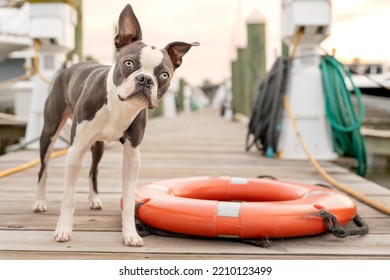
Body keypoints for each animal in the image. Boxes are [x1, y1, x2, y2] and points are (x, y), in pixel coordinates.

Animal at [33, 3, 198, 246]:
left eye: (163, 75)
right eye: (129, 63)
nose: (145, 80)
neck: (119, 105)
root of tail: (69, 67)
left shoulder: (132, 156)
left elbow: (129, 200)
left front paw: (130, 234)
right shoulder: (76, 149)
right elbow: (68, 196)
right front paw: (63, 230)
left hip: (98, 146)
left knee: (93, 170)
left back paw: (94, 199)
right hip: (49, 132)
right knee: (43, 168)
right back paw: (40, 201)